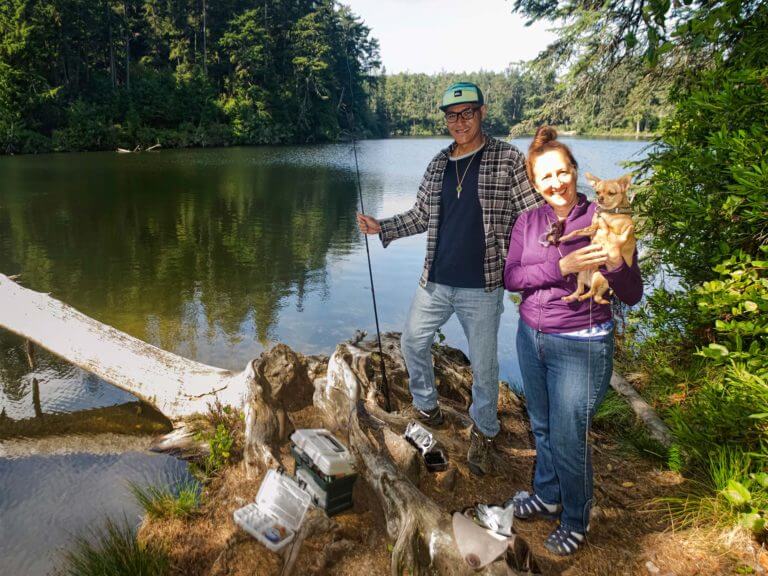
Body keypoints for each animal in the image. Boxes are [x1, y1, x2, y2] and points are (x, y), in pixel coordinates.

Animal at [560, 172, 636, 304]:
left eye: (611, 193)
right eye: (597, 192)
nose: (600, 198)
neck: (609, 211)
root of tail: (589, 281)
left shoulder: (612, 230)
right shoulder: (591, 228)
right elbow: (576, 232)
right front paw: (563, 238)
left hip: (599, 277)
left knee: (592, 293)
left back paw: (583, 297)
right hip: (581, 275)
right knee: (584, 291)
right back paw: (570, 297)